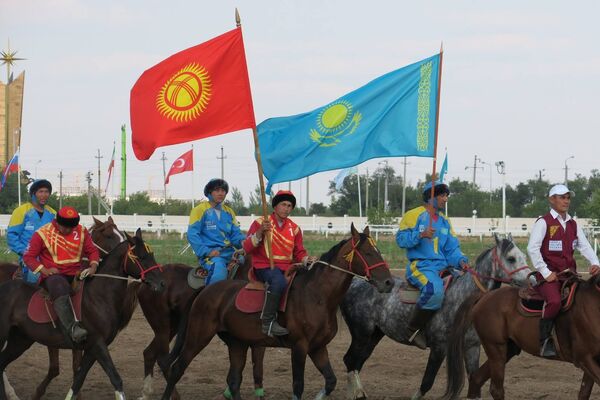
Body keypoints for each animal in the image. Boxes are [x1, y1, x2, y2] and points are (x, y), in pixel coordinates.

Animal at [0, 228, 164, 400]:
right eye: (142, 257)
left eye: (152, 255)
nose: (161, 283)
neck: (97, 296)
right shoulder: (98, 343)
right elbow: (115, 378)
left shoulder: (92, 347)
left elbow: (78, 379)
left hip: (20, 340)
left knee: (1, 364)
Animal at [159, 225, 394, 400]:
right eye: (368, 253)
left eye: (378, 251)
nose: (389, 282)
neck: (316, 294)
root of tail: (206, 290)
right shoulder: (299, 347)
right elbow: (298, 385)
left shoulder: (318, 348)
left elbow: (330, 381)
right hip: (197, 337)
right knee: (176, 369)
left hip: (237, 343)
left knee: (234, 380)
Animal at [340, 234, 532, 400]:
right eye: (511, 258)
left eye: (523, 255)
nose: (532, 281)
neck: (462, 299)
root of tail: (356, 282)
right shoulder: (439, 348)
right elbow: (427, 382)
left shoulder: (472, 347)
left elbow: (474, 380)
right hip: (361, 334)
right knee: (350, 360)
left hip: (374, 335)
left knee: (357, 362)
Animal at [440, 272, 600, 400]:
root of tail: (486, 296)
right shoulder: (584, 358)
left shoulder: (591, 361)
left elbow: (584, 393)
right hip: (496, 348)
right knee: (496, 389)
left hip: (508, 350)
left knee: (476, 379)